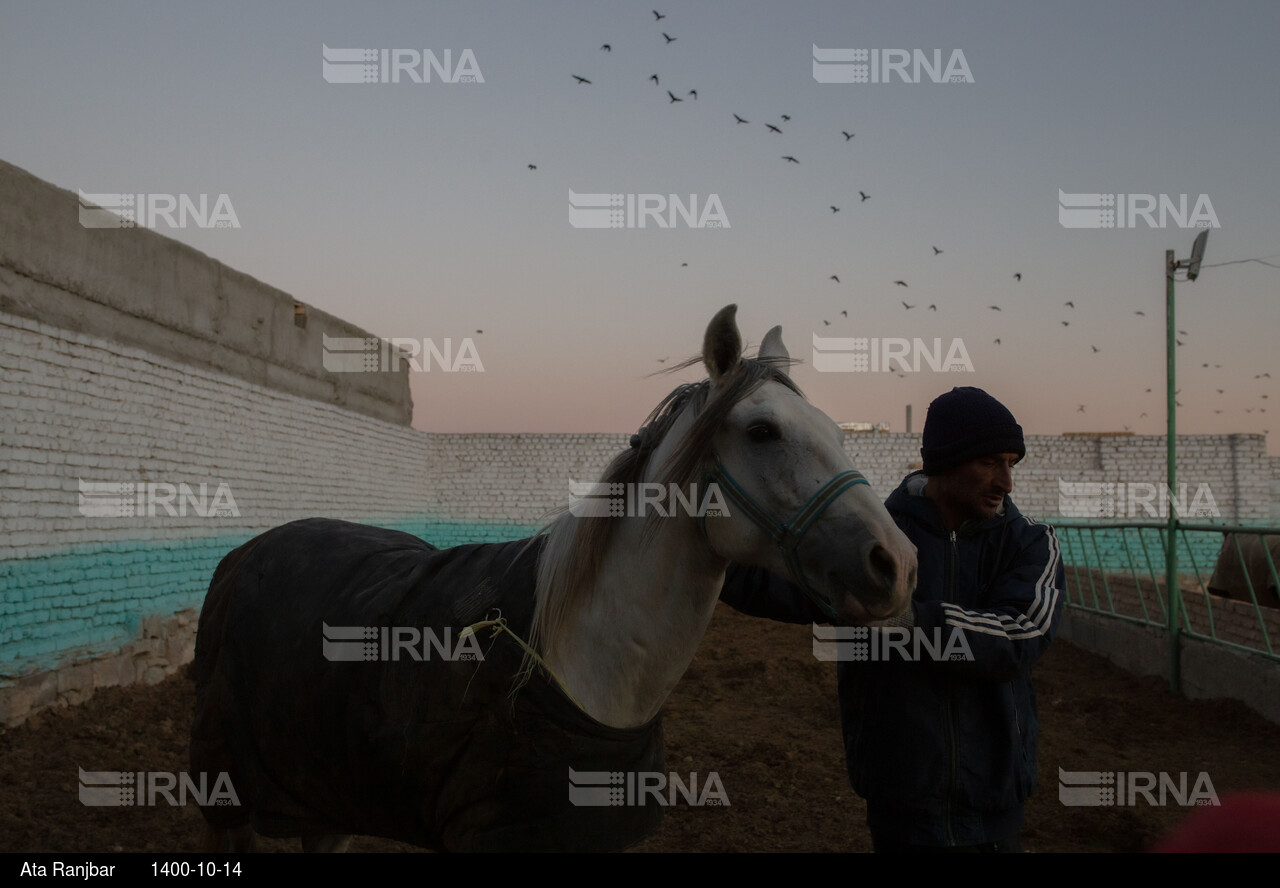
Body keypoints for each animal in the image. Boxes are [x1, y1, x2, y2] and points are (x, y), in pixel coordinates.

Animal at [189, 305, 916, 854]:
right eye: (763, 431)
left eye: (837, 433)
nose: (898, 563)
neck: (578, 669)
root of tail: (248, 552)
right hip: (229, 800)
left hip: (325, 797)